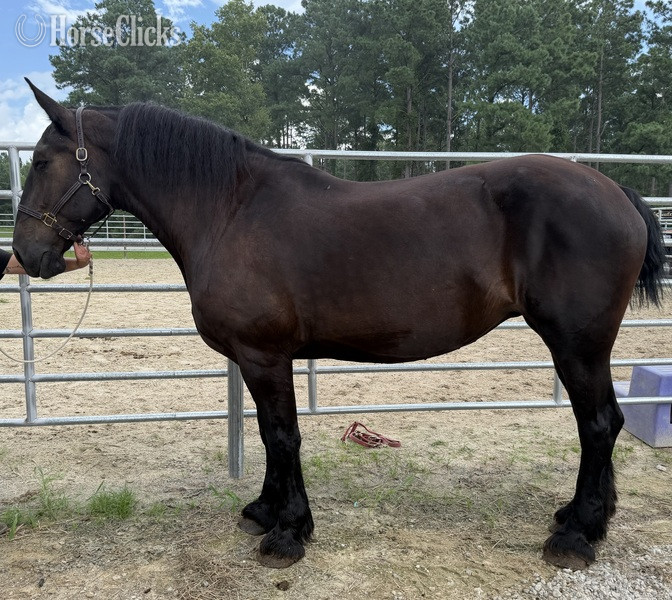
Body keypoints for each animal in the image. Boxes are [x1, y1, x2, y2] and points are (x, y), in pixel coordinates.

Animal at [13, 80, 666, 570]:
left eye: (42, 161)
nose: (25, 254)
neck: (229, 210)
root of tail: (616, 190)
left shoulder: (264, 355)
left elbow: (283, 436)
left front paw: (288, 534)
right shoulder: (259, 359)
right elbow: (269, 435)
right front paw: (265, 512)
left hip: (576, 345)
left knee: (599, 425)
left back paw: (575, 537)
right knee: (603, 424)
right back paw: (586, 518)